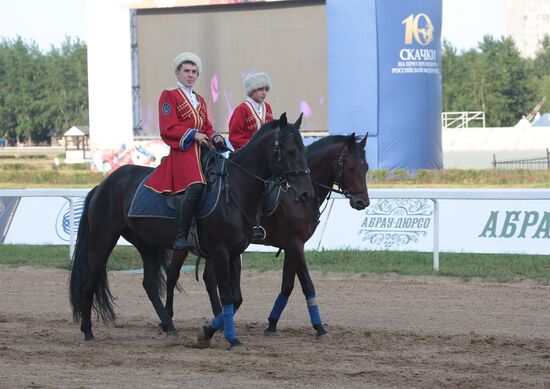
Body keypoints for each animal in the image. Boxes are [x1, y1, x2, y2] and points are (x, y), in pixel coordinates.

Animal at [68, 113, 314, 348]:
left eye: (304, 150)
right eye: (290, 151)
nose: (306, 193)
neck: (234, 188)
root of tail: (103, 185)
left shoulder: (235, 253)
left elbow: (235, 298)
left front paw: (209, 331)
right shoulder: (221, 252)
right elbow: (226, 296)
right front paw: (230, 339)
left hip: (147, 245)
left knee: (150, 285)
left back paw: (168, 325)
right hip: (102, 241)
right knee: (89, 281)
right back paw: (87, 331)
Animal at [164, 133, 370, 340]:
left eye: (366, 167)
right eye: (351, 168)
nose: (363, 202)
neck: (295, 193)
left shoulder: (291, 246)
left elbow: (287, 285)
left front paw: (272, 323)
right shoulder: (294, 244)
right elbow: (306, 284)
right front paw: (319, 327)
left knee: (207, 279)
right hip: (186, 246)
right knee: (173, 275)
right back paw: (169, 322)